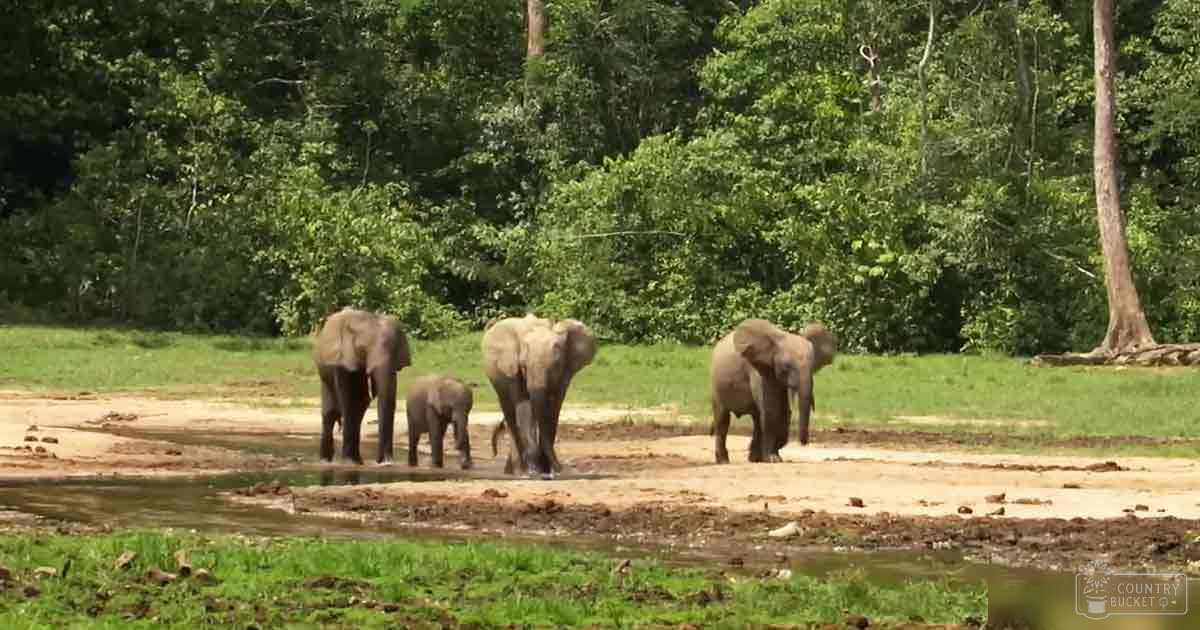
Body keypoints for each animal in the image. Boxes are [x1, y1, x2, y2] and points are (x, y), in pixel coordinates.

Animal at [315, 307, 412, 465]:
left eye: (395, 349)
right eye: (362, 349)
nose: (380, 460)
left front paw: (386, 462)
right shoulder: (343, 358)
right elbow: (348, 402)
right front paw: (348, 462)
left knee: (359, 408)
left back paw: (357, 460)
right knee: (331, 412)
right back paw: (327, 460)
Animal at [481, 314, 596, 477]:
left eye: (556, 365)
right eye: (523, 366)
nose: (560, 468)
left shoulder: (564, 373)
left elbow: (554, 406)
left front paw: (545, 469)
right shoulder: (513, 368)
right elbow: (524, 405)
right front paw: (534, 470)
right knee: (510, 412)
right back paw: (517, 470)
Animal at [709, 318, 837, 464]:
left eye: (812, 366)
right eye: (786, 367)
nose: (804, 443)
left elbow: (783, 411)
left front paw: (774, 456)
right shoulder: (757, 368)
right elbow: (771, 409)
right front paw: (773, 459)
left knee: (757, 418)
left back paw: (754, 458)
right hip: (716, 385)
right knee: (722, 420)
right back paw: (724, 461)